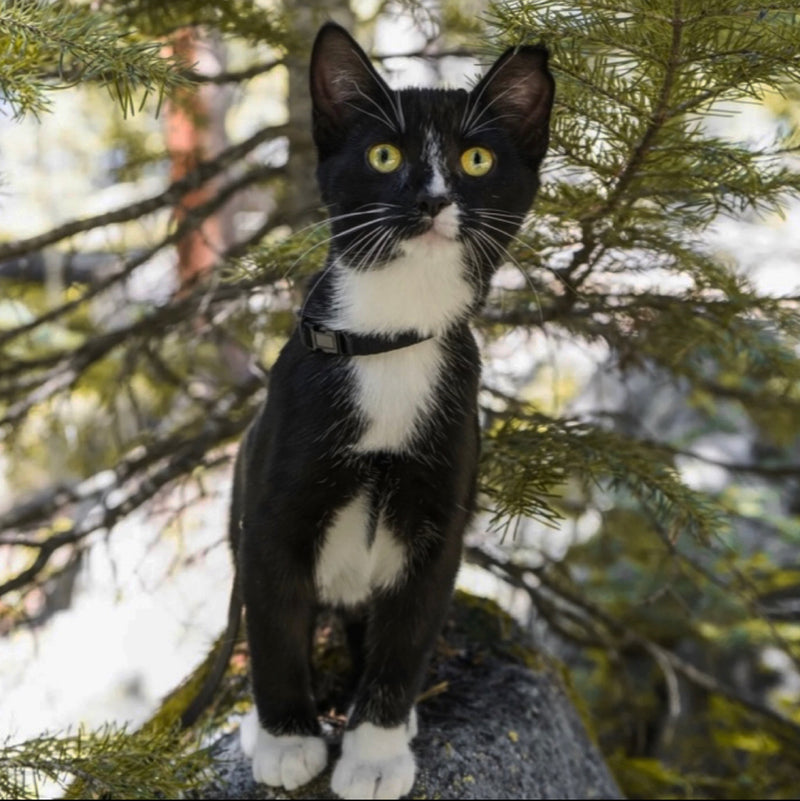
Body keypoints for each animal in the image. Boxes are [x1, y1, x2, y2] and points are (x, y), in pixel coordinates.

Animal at [228, 21, 552, 796]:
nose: (431, 199)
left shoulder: (440, 520)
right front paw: (287, 739)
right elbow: (273, 624)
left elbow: (406, 638)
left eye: (475, 158)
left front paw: (374, 752)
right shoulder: (273, 511)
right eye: (384, 155)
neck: (389, 343)